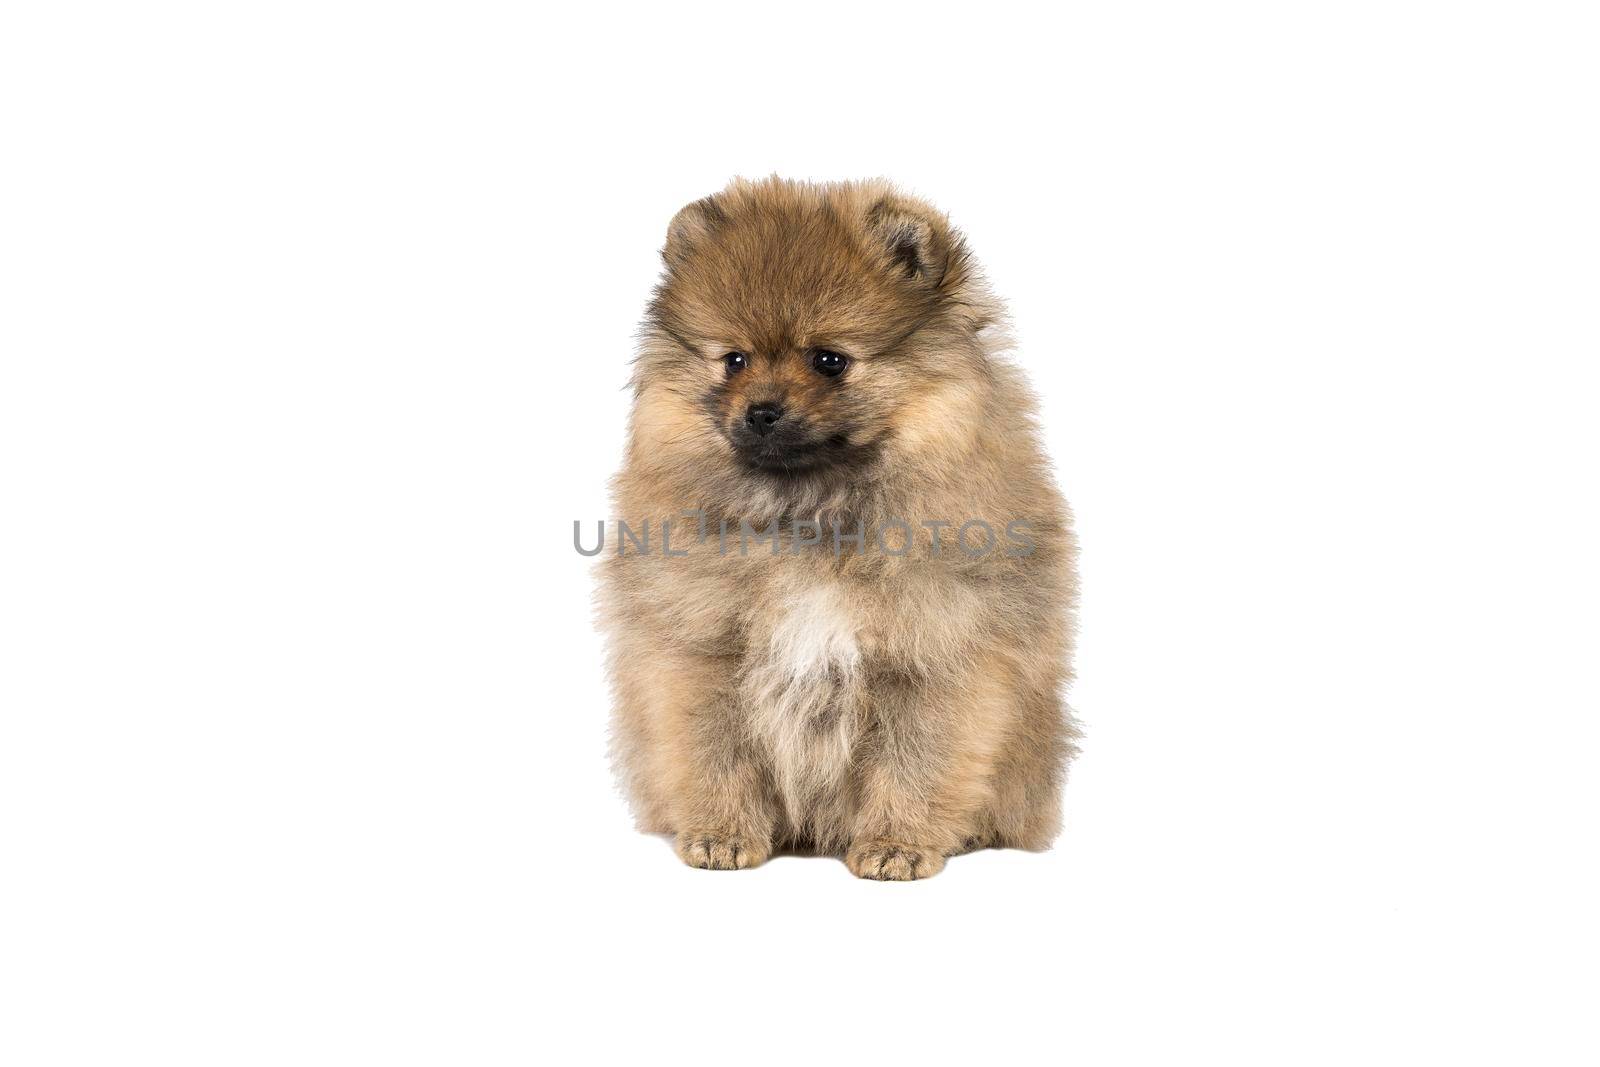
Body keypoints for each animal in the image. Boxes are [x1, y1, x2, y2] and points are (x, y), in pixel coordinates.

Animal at [598, 179, 1075, 883]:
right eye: (733, 360)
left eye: (830, 361)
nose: (761, 411)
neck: (810, 515)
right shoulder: (701, 652)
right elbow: (717, 753)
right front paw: (721, 834)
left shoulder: (935, 658)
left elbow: (915, 763)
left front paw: (898, 845)